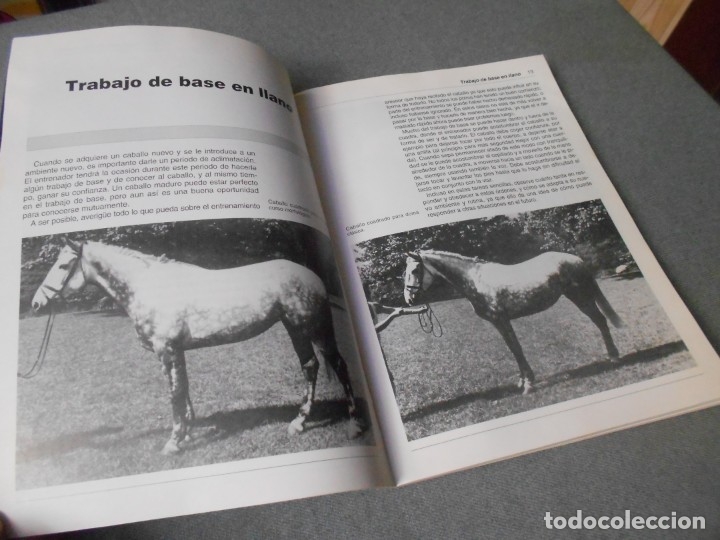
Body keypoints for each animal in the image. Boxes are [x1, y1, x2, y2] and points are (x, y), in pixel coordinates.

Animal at [31, 239, 364, 454]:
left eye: (64, 265)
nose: (36, 304)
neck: (152, 288)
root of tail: (312, 276)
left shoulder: (166, 350)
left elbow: (174, 395)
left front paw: (173, 442)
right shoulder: (177, 351)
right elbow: (185, 390)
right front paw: (187, 435)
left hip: (312, 328)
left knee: (339, 366)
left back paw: (355, 426)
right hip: (294, 329)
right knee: (310, 367)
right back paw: (298, 423)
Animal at [403, 250, 623, 393]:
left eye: (414, 271)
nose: (409, 299)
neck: (475, 280)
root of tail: (576, 259)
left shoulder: (502, 320)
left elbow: (516, 348)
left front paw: (528, 384)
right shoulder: (498, 323)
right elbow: (512, 348)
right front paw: (522, 381)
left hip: (581, 297)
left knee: (601, 321)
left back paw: (614, 357)